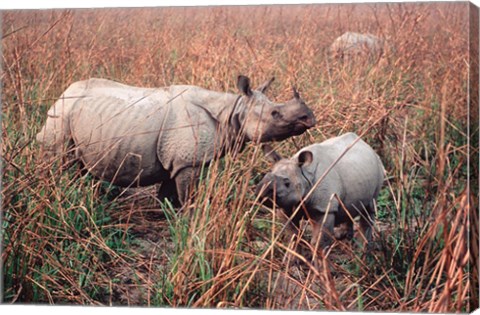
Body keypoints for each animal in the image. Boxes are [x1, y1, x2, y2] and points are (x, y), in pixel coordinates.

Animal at [36, 76, 316, 205]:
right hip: (61, 116)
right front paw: (187, 220)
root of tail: (62, 94)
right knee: (60, 161)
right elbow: (187, 196)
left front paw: (166, 214)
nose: (309, 118)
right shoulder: (187, 162)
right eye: (275, 114)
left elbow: (168, 192)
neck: (233, 110)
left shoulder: (176, 161)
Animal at [256, 133, 384, 252]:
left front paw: (318, 260)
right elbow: (292, 235)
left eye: (287, 183)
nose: (261, 193)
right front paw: (294, 259)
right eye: (265, 176)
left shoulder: (325, 208)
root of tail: (367, 146)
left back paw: (361, 250)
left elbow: (319, 242)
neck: (304, 174)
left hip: (378, 166)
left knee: (369, 207)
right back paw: (342, 236)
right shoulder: (286, 206)